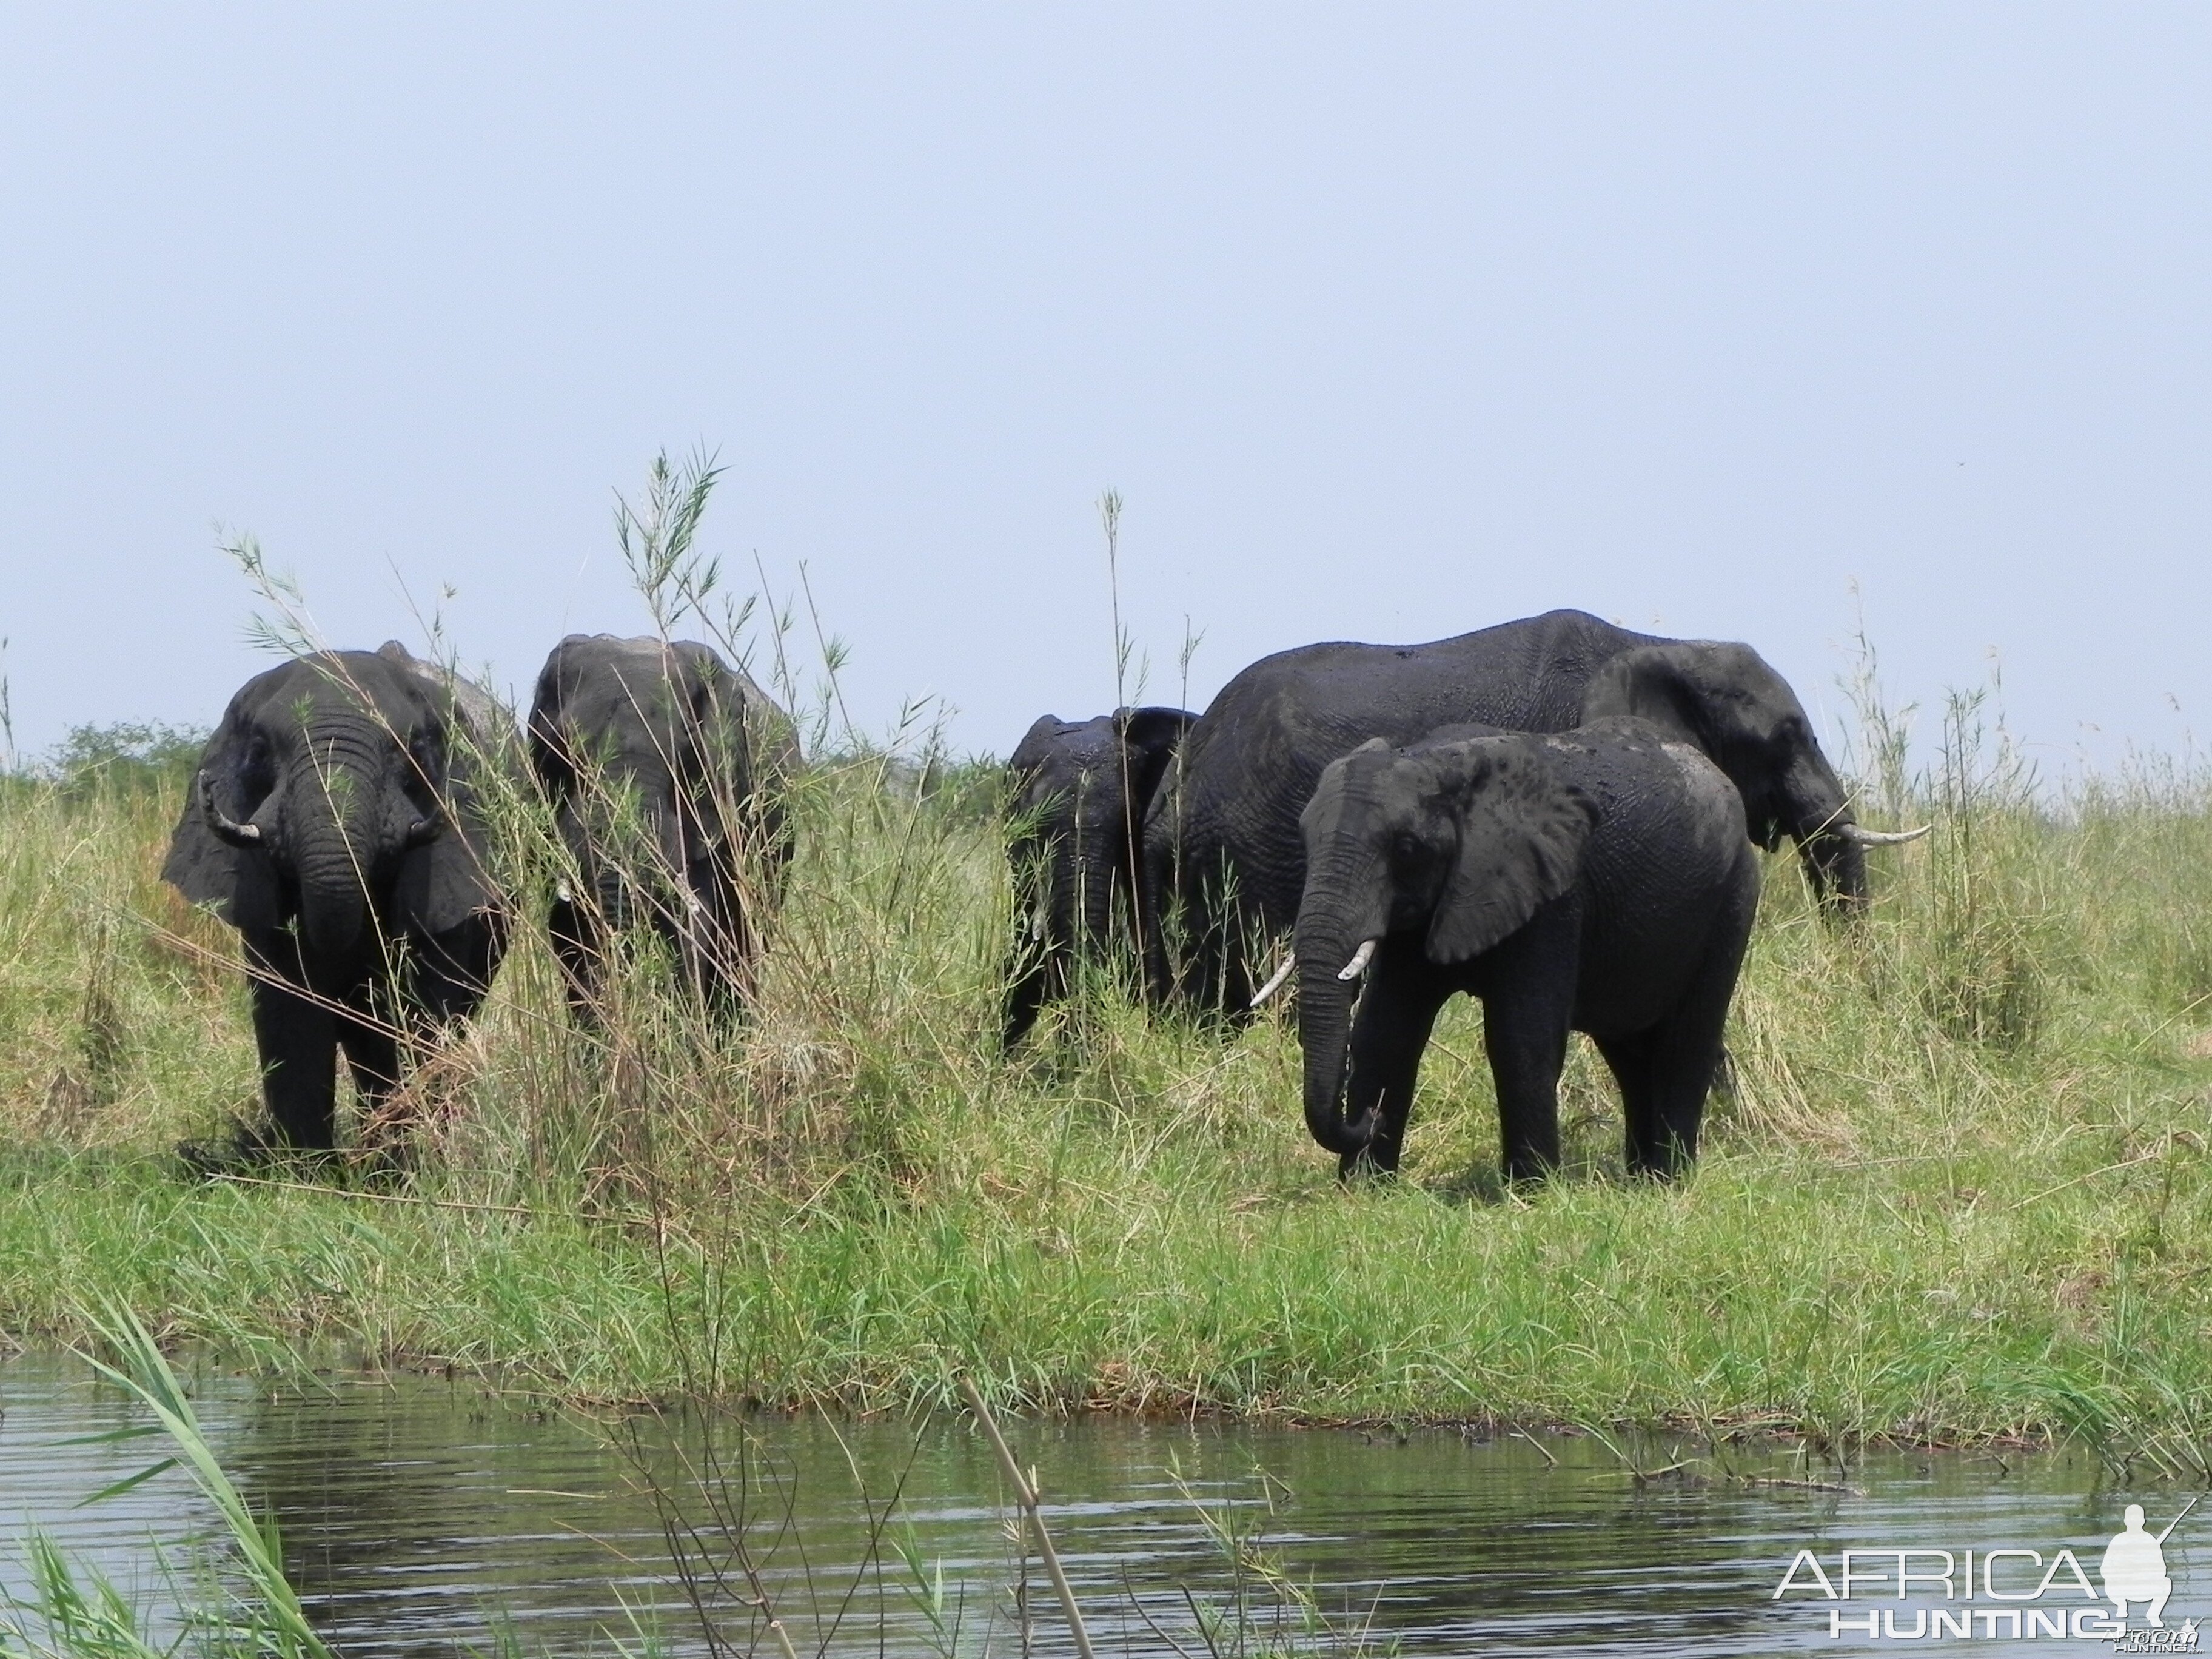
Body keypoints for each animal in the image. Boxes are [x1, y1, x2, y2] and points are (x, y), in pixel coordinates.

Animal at [161, 641, 511, 1176]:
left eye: (414, 747)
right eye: (259, 749)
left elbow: (429, 1014)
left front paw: (416, 1172)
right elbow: (293, 1012)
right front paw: (310, 1178)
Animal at [1292, 716, 1760, 1185]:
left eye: (1406, 849)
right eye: (1305, 839)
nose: (1370, 1119)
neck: (1439, 760)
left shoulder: (1553, 897)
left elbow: (1520, 1036)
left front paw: (1532, 1188)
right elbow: (1385, 1033)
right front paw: (1364, 1187)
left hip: (1733, 897)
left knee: (1687, 1041)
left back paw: (1668, 1178)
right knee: (1630, 1051)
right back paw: (1640, 1179)